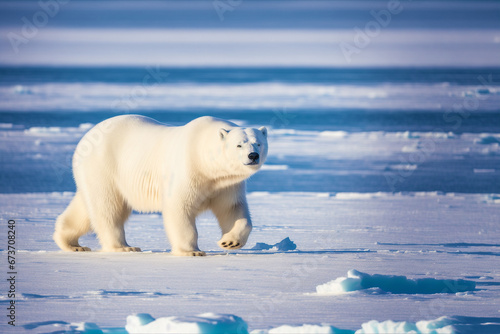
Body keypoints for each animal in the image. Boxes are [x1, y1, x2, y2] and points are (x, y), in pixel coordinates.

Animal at [52, 115, 268, 256]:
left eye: (258, 143)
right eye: (239, 144)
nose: (253, 156)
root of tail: (86, 137)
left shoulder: (225, 183)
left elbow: (232, 209)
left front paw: (229, 242)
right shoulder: (188, 170)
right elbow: (179, 207)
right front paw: (191, 251)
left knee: (85, 209)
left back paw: (73, 244)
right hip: (104, 167)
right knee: (109, 208)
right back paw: (124, 247)